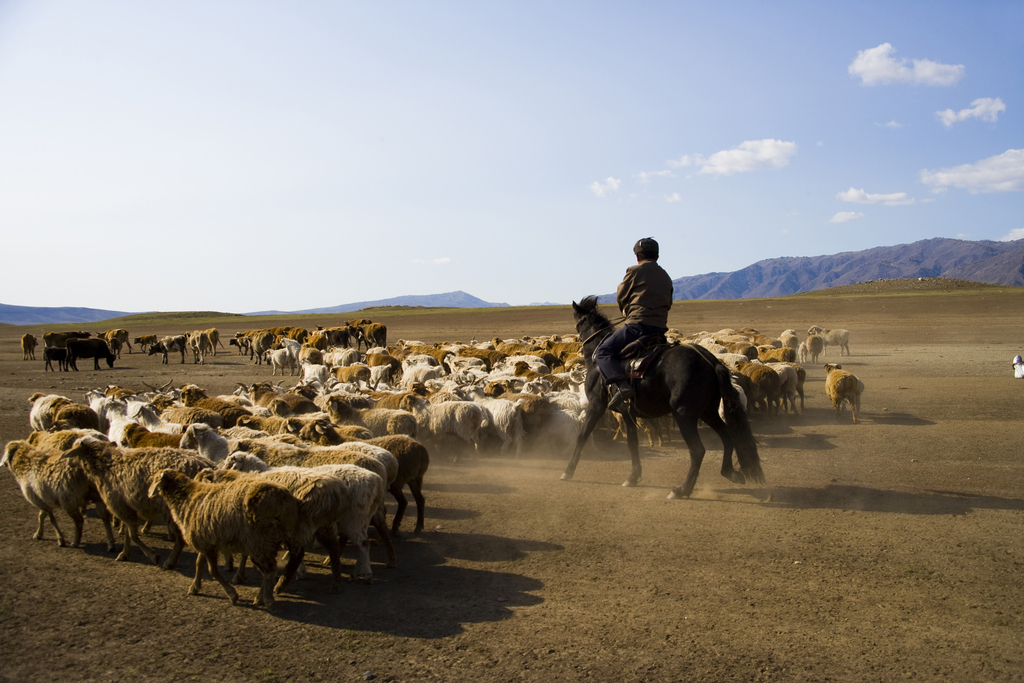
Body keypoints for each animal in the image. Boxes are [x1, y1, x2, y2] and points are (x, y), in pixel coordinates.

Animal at [561, 296, 761, 499]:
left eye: (578, 321)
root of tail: (708, 359)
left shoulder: (596, 404)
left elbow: (582, 435)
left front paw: (568, 471)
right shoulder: (627, 412)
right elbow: (632, 443)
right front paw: (633, 477)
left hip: (684, 414)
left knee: (698, 450)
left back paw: (682, 490)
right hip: (708, 411)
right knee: (727, 437)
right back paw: (730, 472)